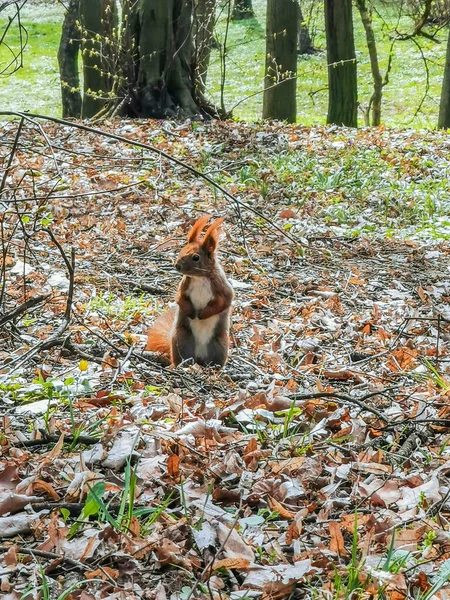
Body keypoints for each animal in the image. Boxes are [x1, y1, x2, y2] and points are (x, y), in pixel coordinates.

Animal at [146, 213, 234, 368]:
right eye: (181, 250)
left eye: (196, 257)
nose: (177, 266)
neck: (199, 278)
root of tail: (199, 357)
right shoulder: (184, 287)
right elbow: (180, 299)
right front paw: (192, 313)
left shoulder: (222, 288)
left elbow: (224, 302)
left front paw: (203, 314)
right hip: (181, 338)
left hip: (220, 343)